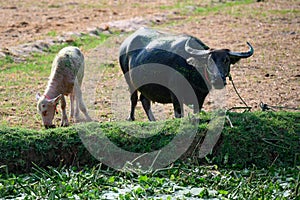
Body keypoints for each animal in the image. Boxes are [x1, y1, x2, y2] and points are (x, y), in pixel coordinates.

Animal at [119, 26, 253, 120]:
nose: (217, 79)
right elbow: (179, 114)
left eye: (226, 60)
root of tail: (125, 45)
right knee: (134, 98)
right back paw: (131, 118)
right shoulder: (175, 94)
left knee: (144, 100)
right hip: (129, 80)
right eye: (209, 61)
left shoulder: (200, 96)